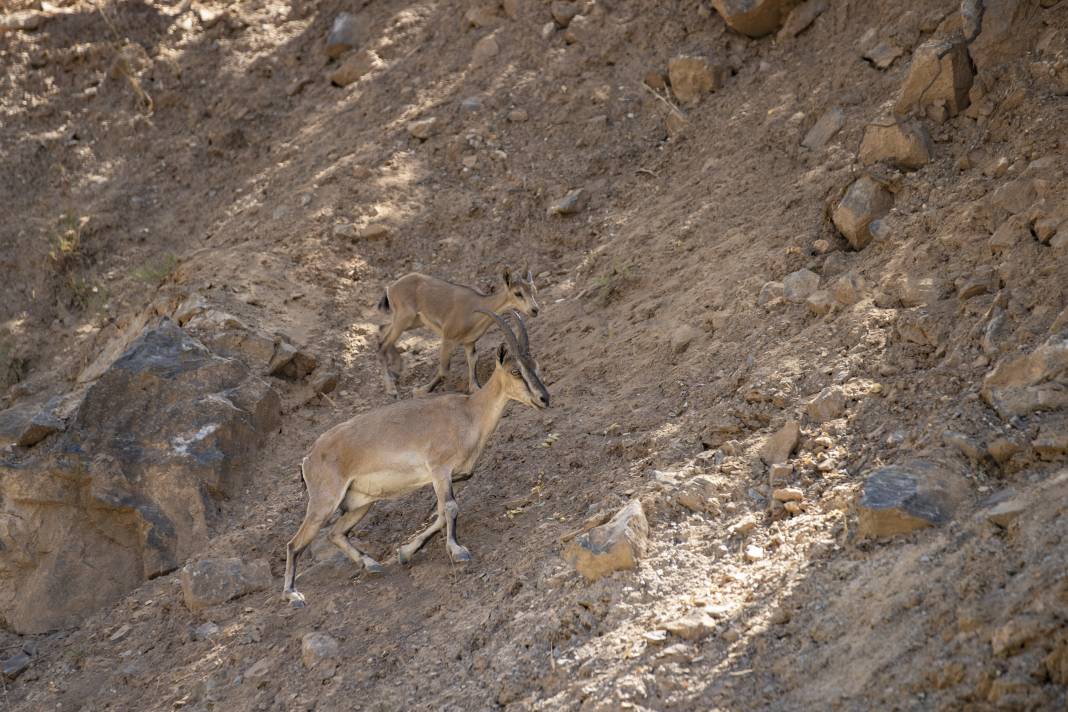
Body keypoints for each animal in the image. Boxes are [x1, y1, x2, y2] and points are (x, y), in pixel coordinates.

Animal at [281, 309, 551, 606]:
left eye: (536, 365)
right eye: (516, 371)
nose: (544, 398)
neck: (469, 413)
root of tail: (308, 459)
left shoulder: (452, 476)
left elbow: (442, 513)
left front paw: (405, 552)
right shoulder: (439, 469)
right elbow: (450, 509)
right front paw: (458, 551)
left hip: (361, 502)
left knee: (335, 532)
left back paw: (371, 565)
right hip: (324, 501)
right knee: (295, 543)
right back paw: (293, 593)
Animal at [378, 270, 542, 399]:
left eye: (534, 290)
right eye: (518, 293)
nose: (535, 310)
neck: (475, 309)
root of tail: (390, 288)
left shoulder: (469, 342)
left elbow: (473, 361)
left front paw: (475, 388)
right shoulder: (448, 338)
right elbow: (444, 370)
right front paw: (421, 390)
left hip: (412, 321)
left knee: (383, 330)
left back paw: (397, 370)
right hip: (404, 317)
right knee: (383, 344)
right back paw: (391, 389)